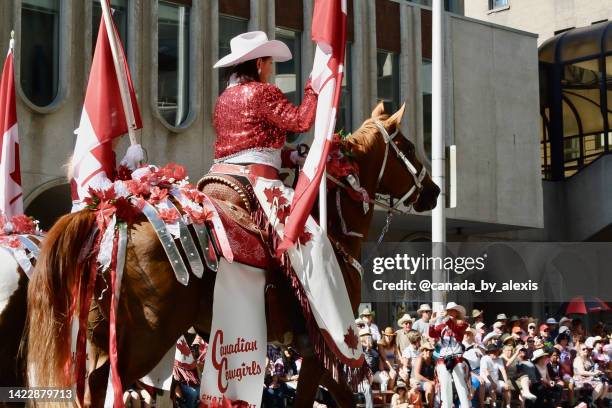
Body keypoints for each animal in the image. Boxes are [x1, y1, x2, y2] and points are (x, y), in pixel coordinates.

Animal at [25, 101, 440, 404]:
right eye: (407, 146)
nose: (434, 191)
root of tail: (116, 211)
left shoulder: (316, 352)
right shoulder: (326, 347)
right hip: (146, 339)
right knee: (102, 385)